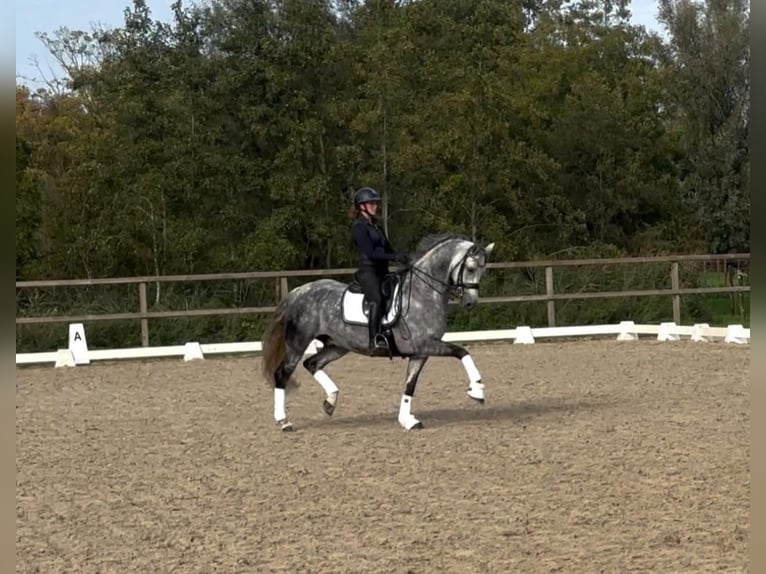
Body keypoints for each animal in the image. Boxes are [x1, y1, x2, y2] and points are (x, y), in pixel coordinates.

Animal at [260, 233, 495, 431]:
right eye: (471, 268)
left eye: (483, 269)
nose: (470, 303)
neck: (424, 293)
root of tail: (298, 292)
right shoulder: (426, 344)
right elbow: (462, 352)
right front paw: (477, 390)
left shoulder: (420, 352)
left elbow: (410, 385)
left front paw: (407, 420)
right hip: (298, 343)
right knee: (282, 373)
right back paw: (284, 421)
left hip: (338, 346)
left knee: (312, 364)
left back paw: (330, 401)